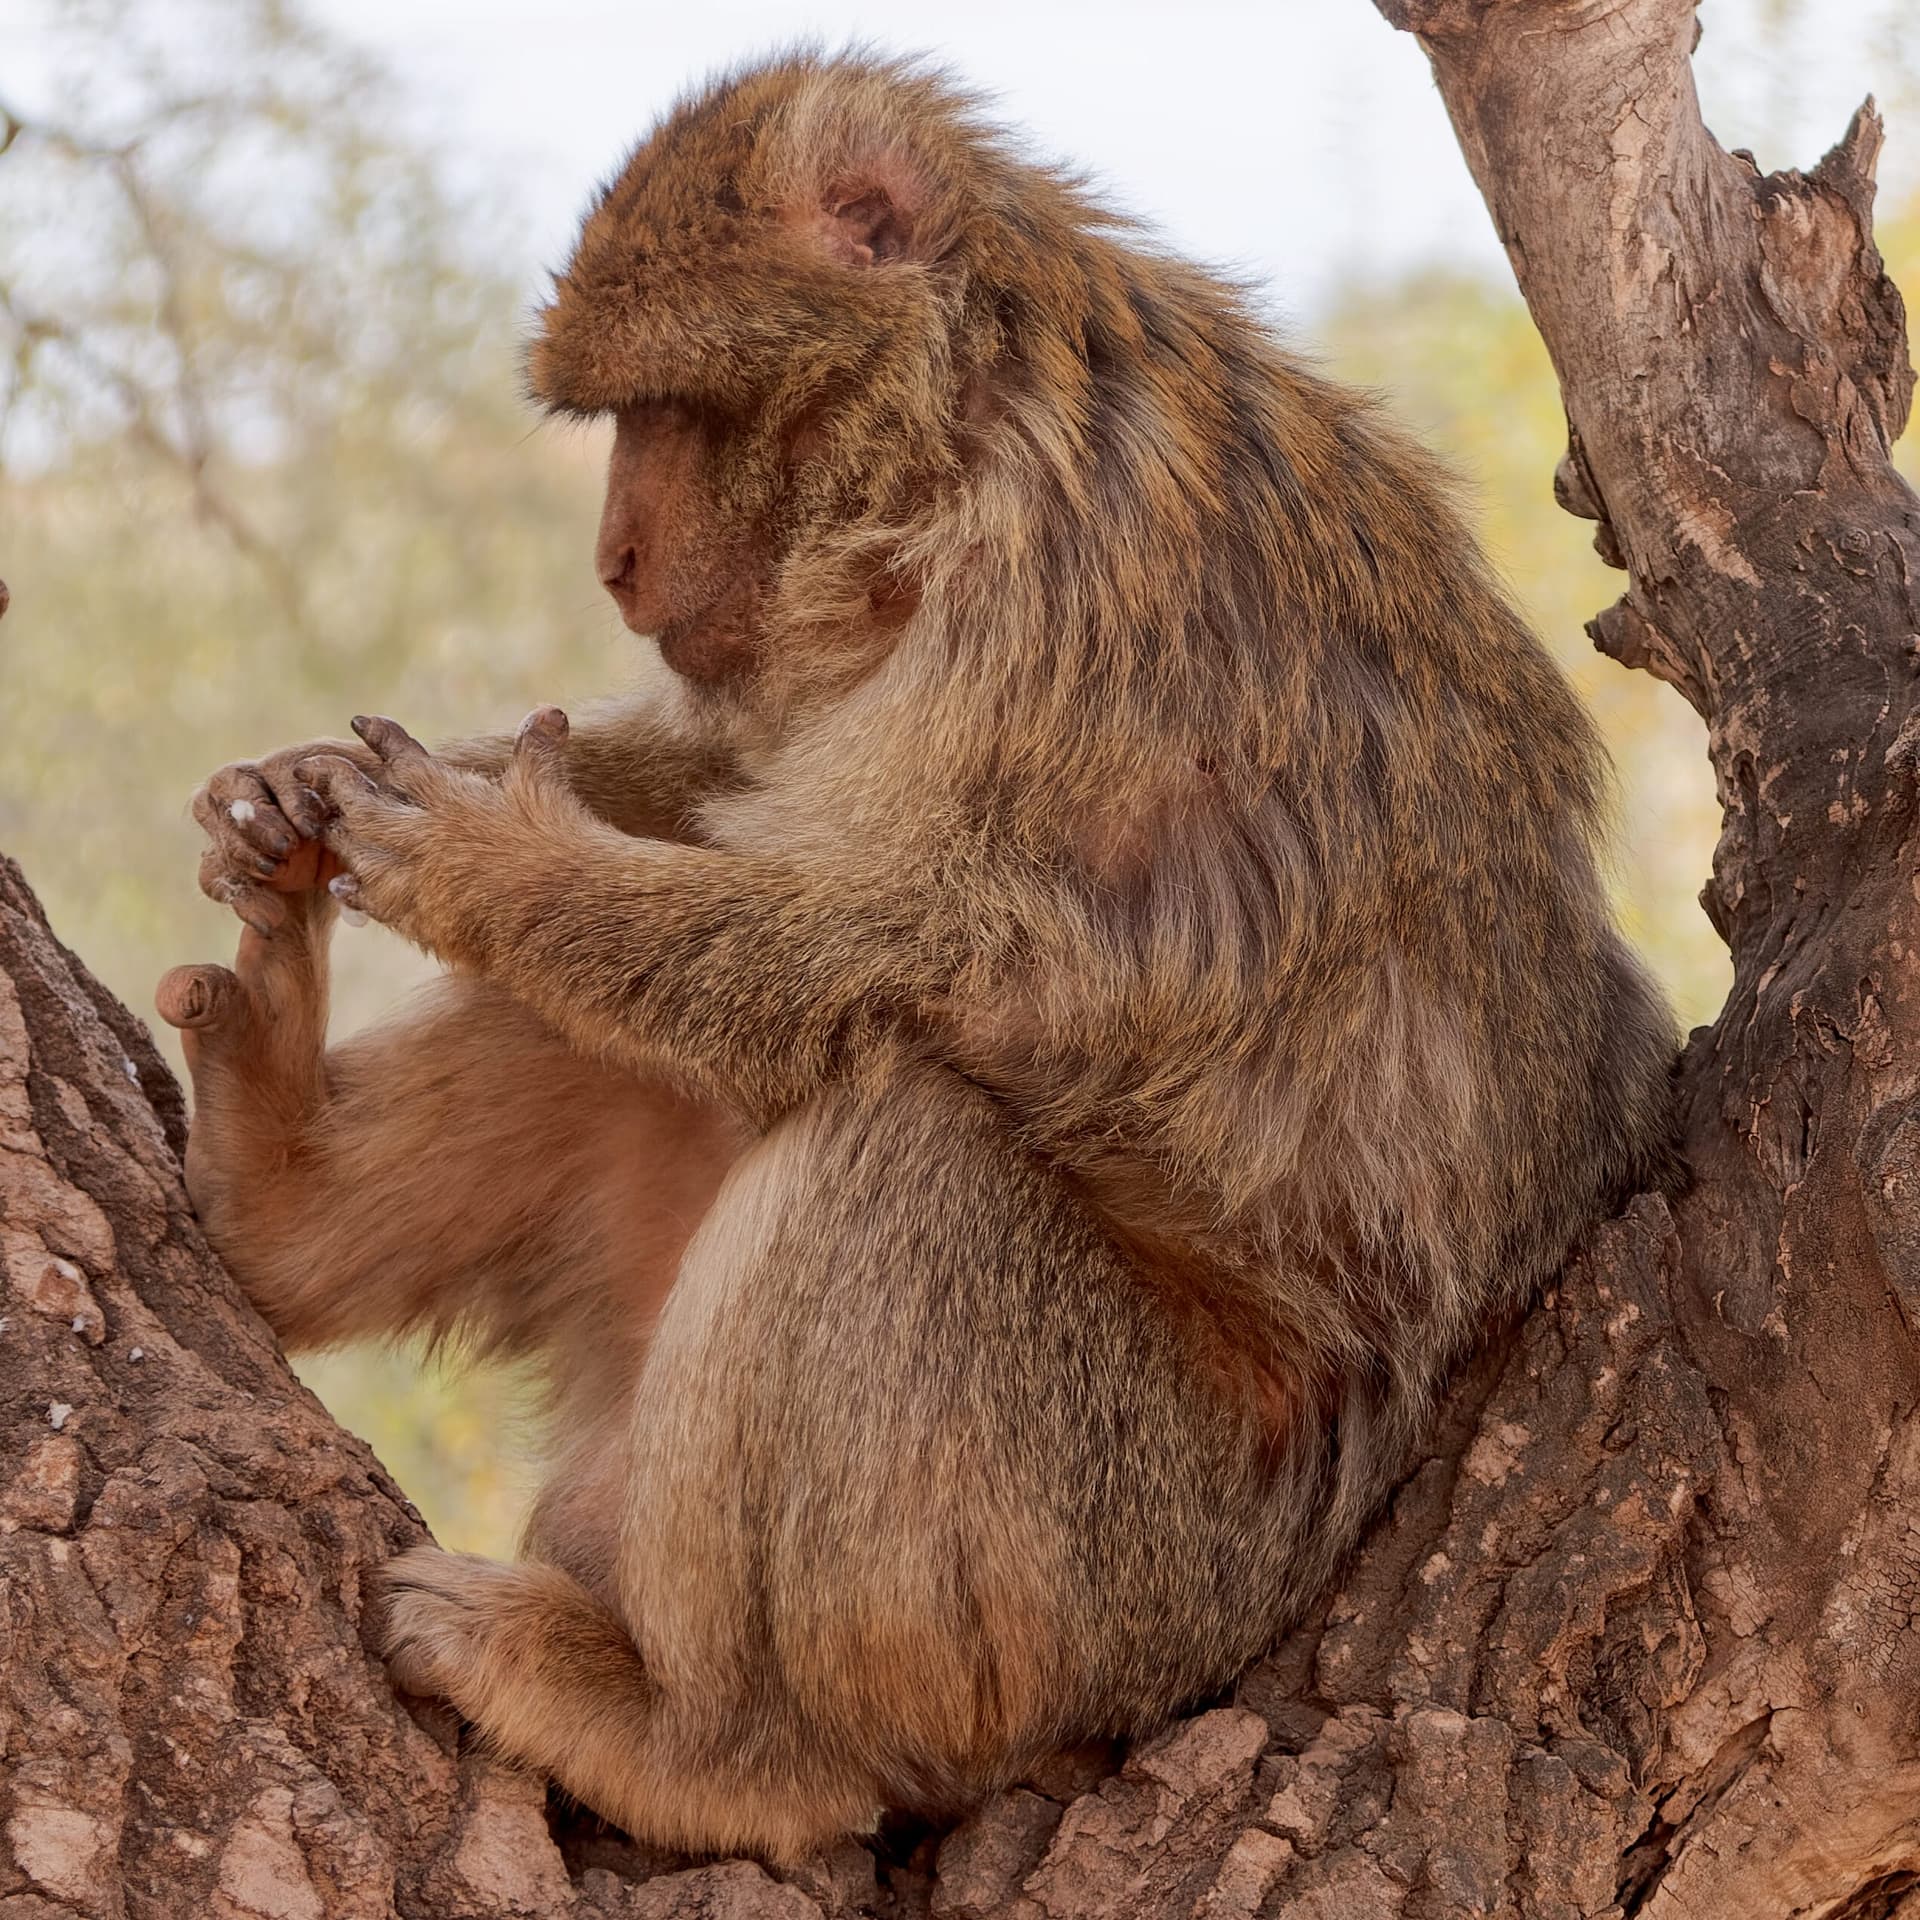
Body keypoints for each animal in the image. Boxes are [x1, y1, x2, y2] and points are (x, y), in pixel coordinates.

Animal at [155, 51, 1679, 1862]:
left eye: (670, 414)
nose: (614, 562)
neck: (966, 432)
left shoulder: (1067, 605)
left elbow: (863, 948)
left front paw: (486, 860)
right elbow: (737, 784)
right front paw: (309, 788)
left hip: (1118, 1576)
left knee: (901, 1140)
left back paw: (713, 1743)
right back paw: (279, 1196)